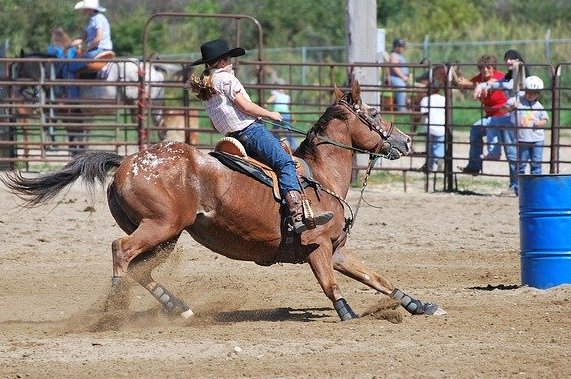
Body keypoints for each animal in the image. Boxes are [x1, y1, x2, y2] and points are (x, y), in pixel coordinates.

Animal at [1, 81, 446, 324]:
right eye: (375, 112)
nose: (406, 141)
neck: (320, 176)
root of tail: (126, 159)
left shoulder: (336, 249)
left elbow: (378, 278)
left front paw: (420, 305)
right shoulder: (316, 246)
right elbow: (330, 284)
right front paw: (347, 313)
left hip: (167, 235)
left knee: (140, 269)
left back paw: (178, 307)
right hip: (159, 227)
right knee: (120, 252)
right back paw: (114, 306)